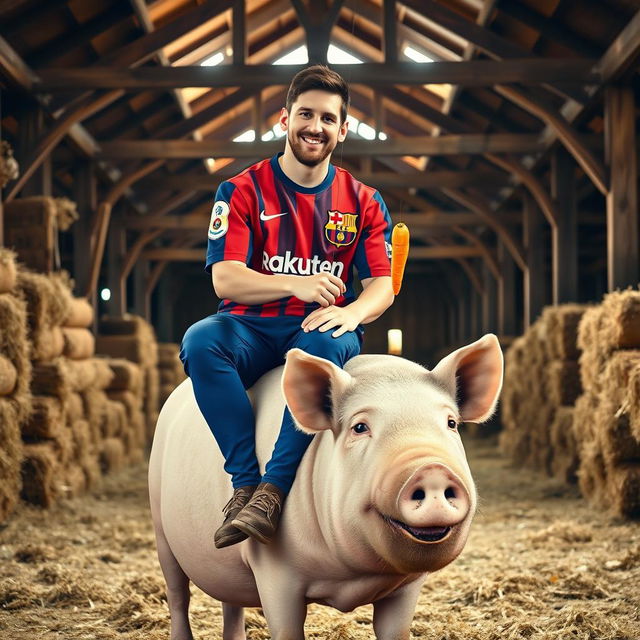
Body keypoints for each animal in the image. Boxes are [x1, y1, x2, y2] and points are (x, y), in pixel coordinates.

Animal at [148, 332, 502, 636]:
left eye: (451, 423)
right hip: (161, 526)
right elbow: (287, 629)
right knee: (178, 594)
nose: (430, 468)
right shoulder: (273, 570)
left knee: (230, 603)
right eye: (359, 427)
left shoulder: (407, 587)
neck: (349, 577)